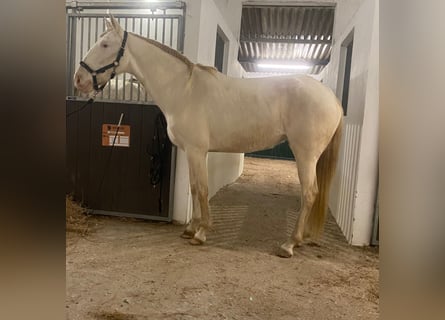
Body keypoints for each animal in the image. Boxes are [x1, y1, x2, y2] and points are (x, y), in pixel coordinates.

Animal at [74, 16, 342, 258]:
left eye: (105, 45)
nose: (79, 80)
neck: (183, 90)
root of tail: (331, 97)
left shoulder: (197, 151)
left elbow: (202, 189)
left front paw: (202, 233)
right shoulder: (190, 152)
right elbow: (193, 188)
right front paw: (190, 229)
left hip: (305, 155)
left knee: (309, 193)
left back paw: (289, 244)